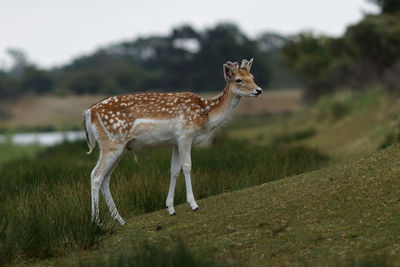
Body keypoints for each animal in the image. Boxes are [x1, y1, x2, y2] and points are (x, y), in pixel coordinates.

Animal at [83, 58, 262, 226]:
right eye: (239, 80)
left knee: (106, 178)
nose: (258, 90)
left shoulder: (175, 141)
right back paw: (96, 222)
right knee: (96, 175)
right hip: (112, 144)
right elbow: (187, 166)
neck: (206, 114)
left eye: (253, 77)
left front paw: (171, 208)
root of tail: (89, 113)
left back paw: (120, 219)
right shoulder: (185, 134)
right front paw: (194, 204)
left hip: (119, 147)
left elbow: (174, 170)